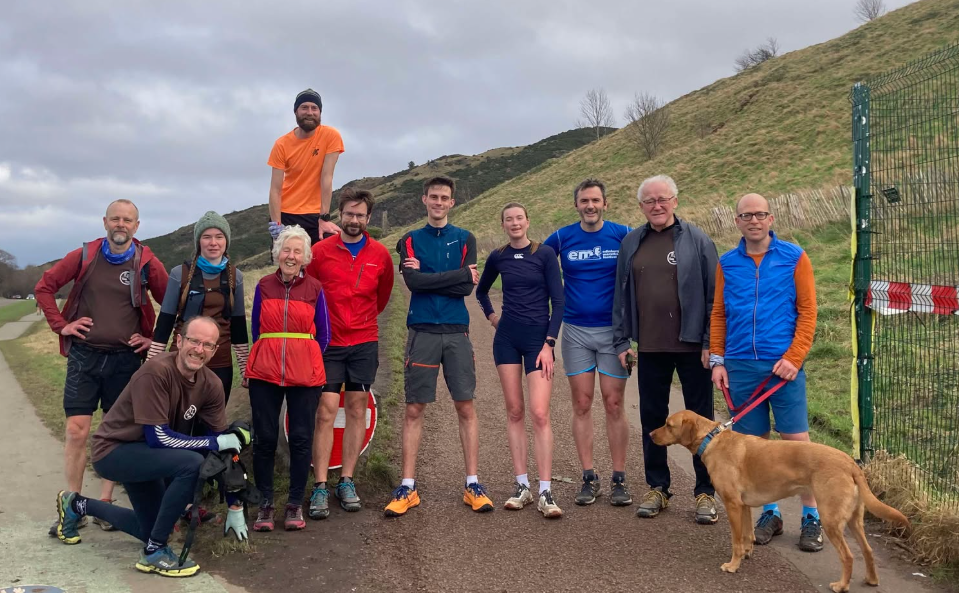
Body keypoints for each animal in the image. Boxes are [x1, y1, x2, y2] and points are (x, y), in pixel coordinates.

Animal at [650, 410, 910, 593]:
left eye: (668, 425)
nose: (650, 434)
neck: (711, 439)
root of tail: (850, 463)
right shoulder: (744, 506)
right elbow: (746, 537)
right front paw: (746, 554)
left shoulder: (733, 504)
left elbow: (736, 541)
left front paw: (733, 566)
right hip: (855, 520)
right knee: (867, 551)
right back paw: (872, 579)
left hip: (831, 519)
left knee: (848, 556)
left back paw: (841, 585)